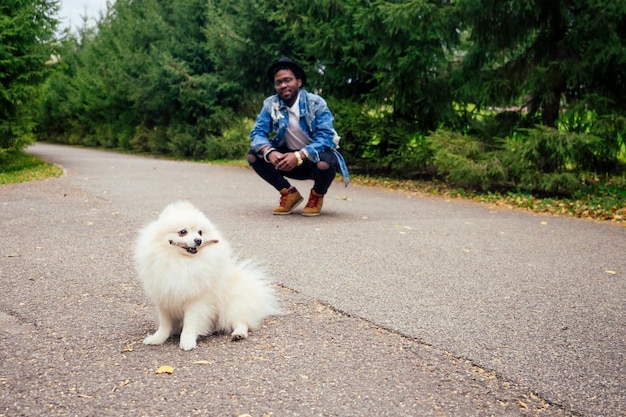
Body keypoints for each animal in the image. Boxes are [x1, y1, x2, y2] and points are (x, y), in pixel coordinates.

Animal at [134, 200, 280, 350]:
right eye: (183, 232)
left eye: (200, 232)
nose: (198, 240)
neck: (181, 262)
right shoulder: (164, 297)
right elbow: (164, 324)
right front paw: (157, 338)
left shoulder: (196, 300)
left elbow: (190, 324)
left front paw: (187, 341)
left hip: (231, 306)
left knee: (241, 322)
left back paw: (238, 334)